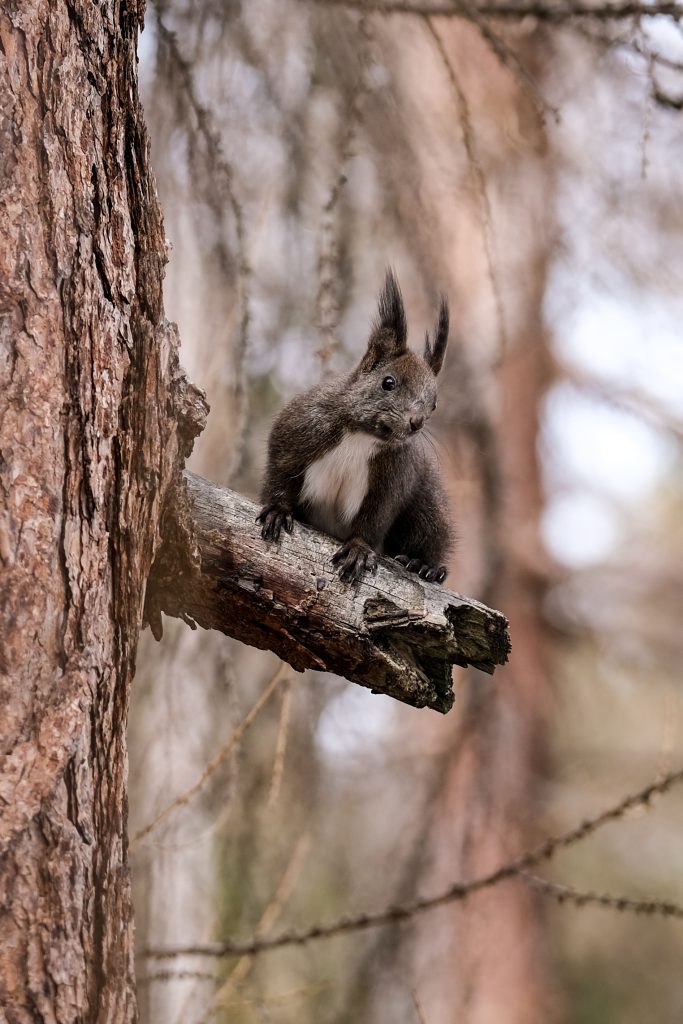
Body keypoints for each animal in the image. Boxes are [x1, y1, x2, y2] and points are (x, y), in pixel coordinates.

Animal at [255, 268, 454, 585]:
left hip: (427, 501)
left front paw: (359, 549)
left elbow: (374, 518)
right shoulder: (299, 430)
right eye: (388, 383)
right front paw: (277, 510)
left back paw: (424, 565)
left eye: (433, 404)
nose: (416, 422)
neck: (362, 436)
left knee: (430, 531)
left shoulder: (392, 478)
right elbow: (280, 473)